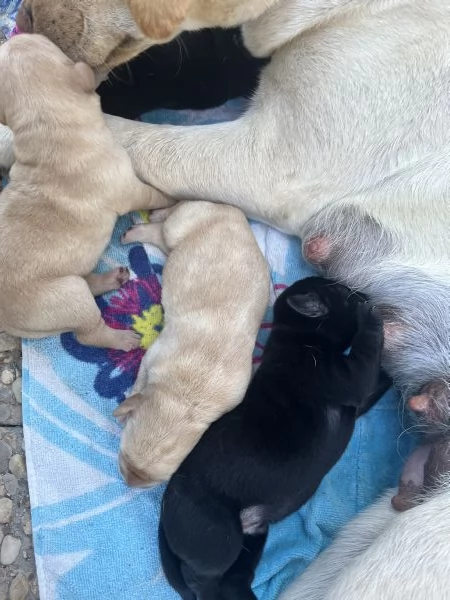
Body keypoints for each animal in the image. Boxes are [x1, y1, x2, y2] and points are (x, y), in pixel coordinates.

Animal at [0, 32, 172, 350]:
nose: (23, 29)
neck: (48, 126)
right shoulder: (131, 189)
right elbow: (154, 194)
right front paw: (173, 198)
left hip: (72, 284)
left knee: (87, 282)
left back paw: (110, 280)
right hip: (67, 297)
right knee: (89, 332)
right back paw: (123, 339)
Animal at [113, 202, 268, 488]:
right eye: (122, 461)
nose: (128, 483)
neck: (184, 399)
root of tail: (232, 212)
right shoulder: (154, 355)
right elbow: (140, 380)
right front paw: (132, 395)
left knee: (161, 236)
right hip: (183, 223)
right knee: (168, 221)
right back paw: (146, 222)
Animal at [159, 276, 390, 600]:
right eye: (342, 292)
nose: (366, 295)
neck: (298, 335)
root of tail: (166, 503)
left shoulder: (358, 399)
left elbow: (379, 381)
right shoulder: (350, 377)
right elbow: (367, 352)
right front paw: (370, 316)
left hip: (253, 536)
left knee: (234, 578)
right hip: (220, 538)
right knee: (199, 579)